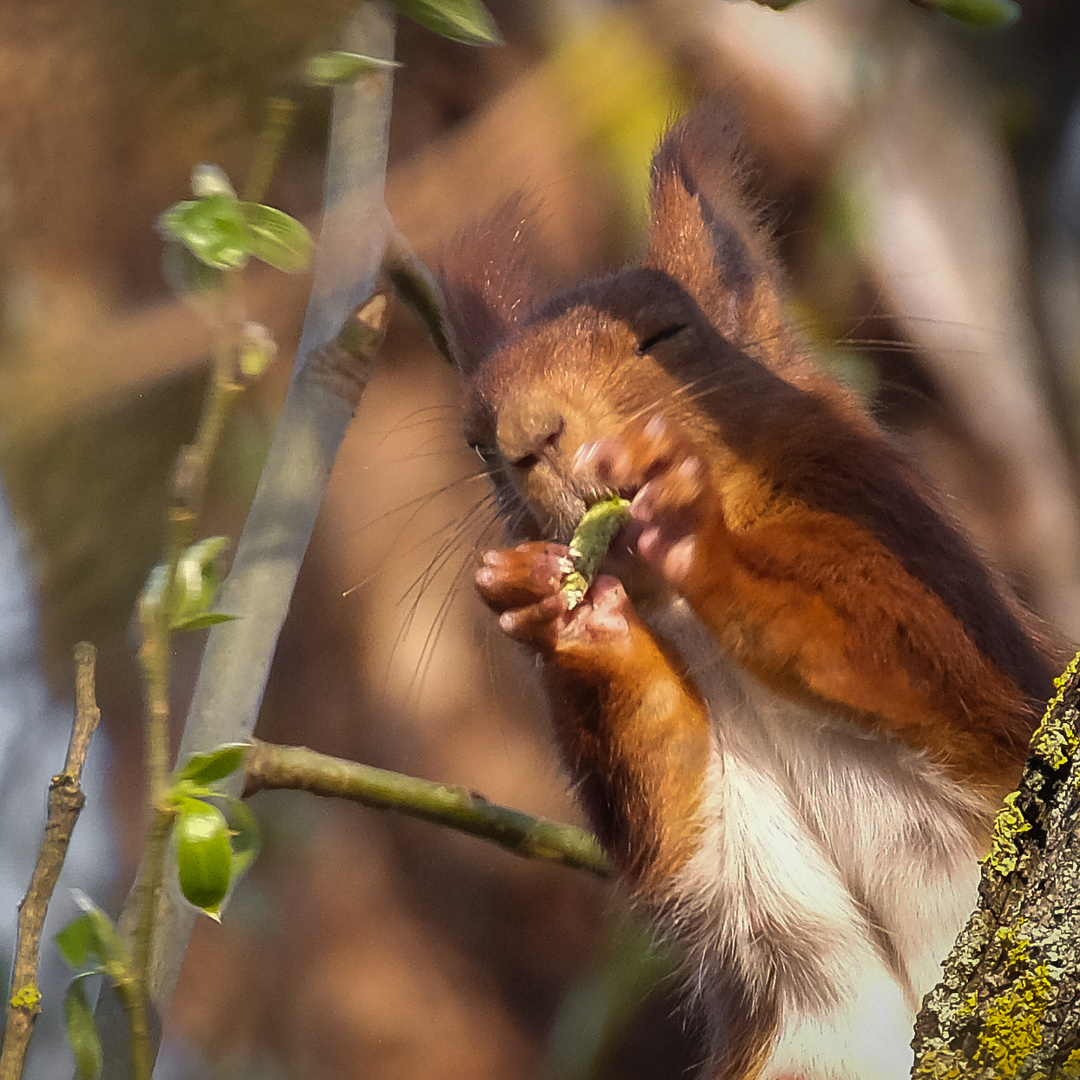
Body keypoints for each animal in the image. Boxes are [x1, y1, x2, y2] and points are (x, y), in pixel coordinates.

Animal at [434, 107, 1058, 1080]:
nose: (529, 435)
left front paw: (704, 540)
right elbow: (680, 803)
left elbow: (895, 648)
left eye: (666, 333)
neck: (686, 617)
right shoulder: (723, 842)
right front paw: (569, 618)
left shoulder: (916, 566)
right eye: (474, 437)